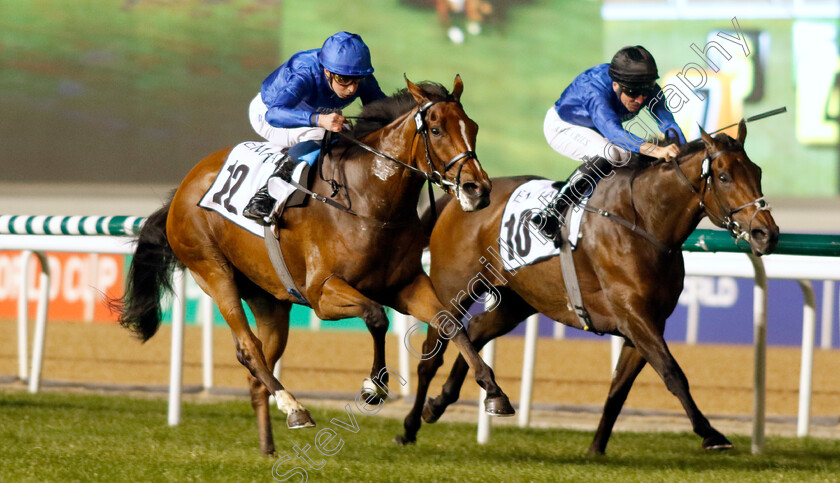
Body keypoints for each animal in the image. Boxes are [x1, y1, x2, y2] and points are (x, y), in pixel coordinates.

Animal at [113, 77, 520, 456]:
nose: (478, 189)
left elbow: (450, 325)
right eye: (436, 130)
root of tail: (183, 188)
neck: (368, 201)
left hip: (270, 298)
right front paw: (374, 386)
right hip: (213, 271)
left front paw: (494, 392)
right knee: (247, 348)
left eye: (473, 127)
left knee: (260, 364)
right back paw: (294, 408)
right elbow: (376, 318)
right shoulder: (323, 293)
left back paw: (268, 445)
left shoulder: (406, 286)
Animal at [400, 123, 780, 456]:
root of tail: (459, 199)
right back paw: (409, 427)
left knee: (477, 331)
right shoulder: (634, 316)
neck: (643, 222)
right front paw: (711, 433)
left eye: (758, 172)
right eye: (724, 176)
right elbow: (673, 374)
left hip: (518, 300)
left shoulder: (646, 323)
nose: (767, 233)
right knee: (432, 354)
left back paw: (454, 402)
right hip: (454, 289)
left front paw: (596, 448)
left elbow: (619, 387)